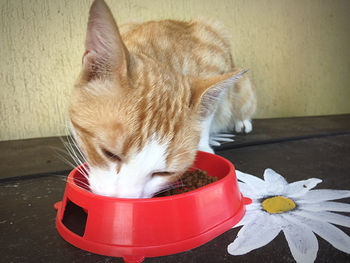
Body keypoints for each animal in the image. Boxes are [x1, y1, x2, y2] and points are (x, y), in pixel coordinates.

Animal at [68, 0, 256, 198]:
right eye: (109, 154)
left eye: (163, 173)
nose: (124, 200)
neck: (165, 54)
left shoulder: (216, 58)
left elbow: (208, 114)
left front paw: (203, 145)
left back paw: (241, 122)